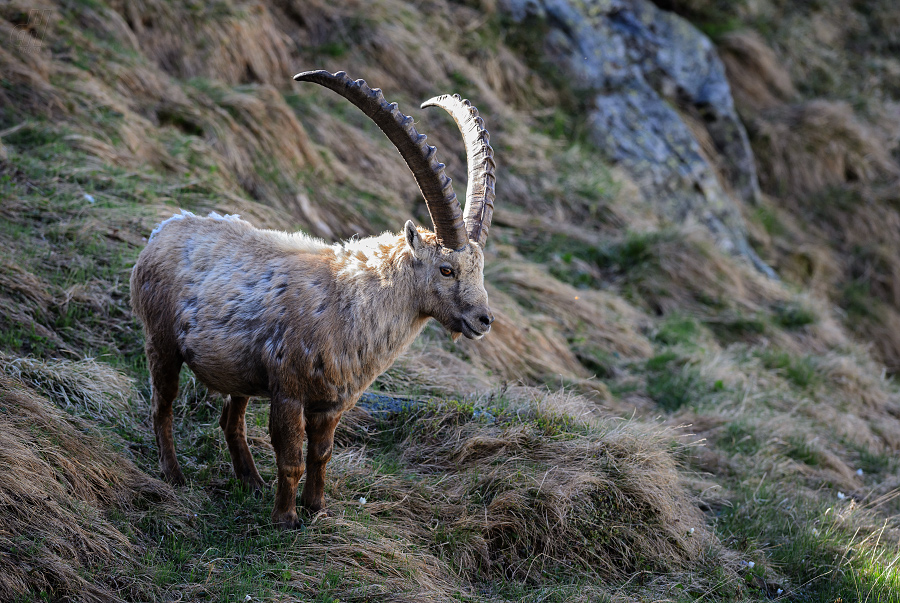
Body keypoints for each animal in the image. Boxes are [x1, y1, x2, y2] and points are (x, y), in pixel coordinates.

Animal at [130, 70, 496, 528]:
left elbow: (321, 454)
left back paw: (250, 481)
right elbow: (290, 456)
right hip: (161, 341)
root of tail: (161, 232)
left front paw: (316, 507)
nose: (483, 320)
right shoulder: (288, 389)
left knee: (230, 419)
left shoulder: (332, 401)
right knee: (161, 407)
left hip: (238, 373)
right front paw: (285, 519)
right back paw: (174, 475)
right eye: (446, 269)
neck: (351, 300)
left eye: (480, 269)